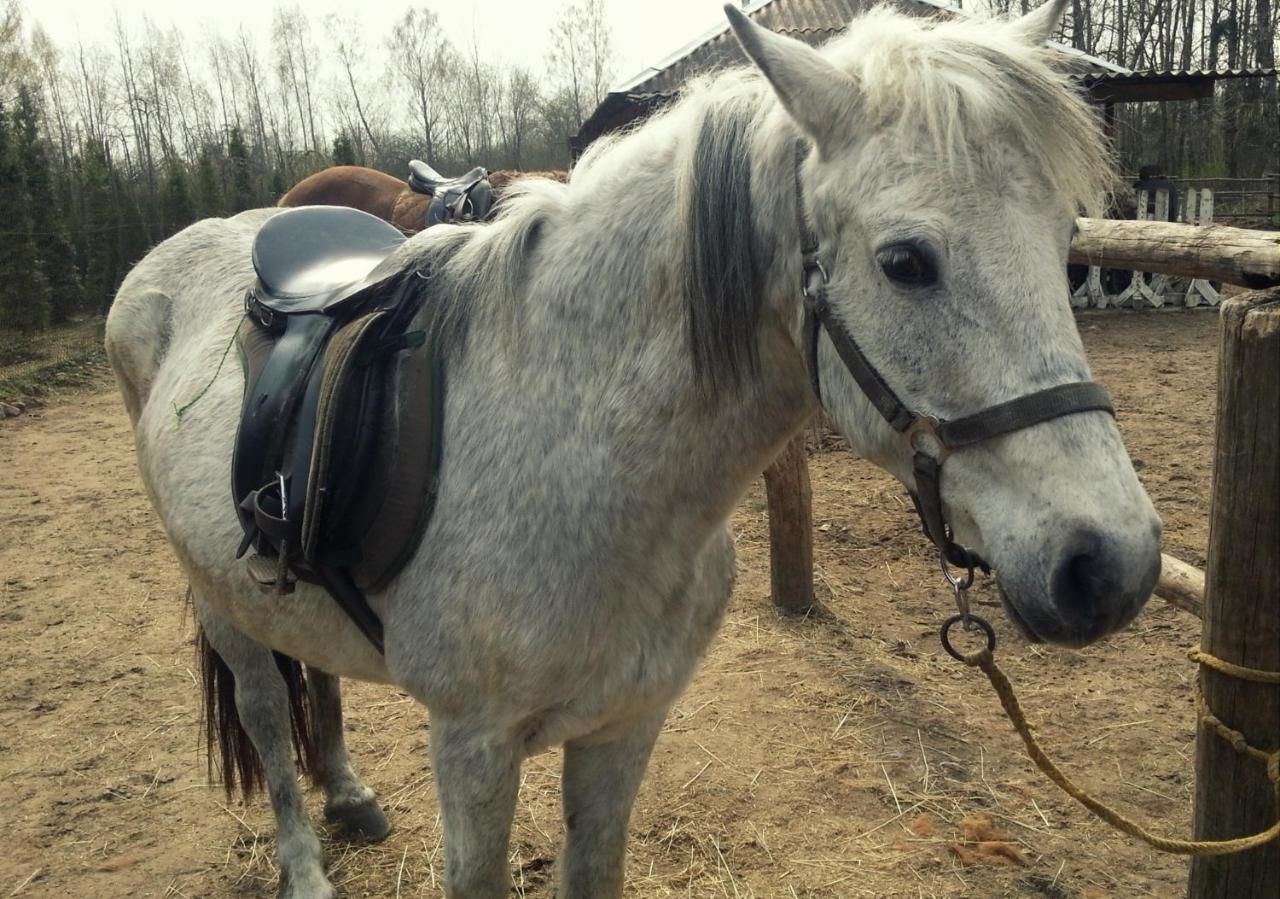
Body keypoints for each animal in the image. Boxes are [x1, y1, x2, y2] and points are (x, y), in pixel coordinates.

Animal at [107, 3, 1162, 896]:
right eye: (906, 261)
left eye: (1067, 238)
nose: (1109, 566)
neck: (583, 465)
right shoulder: (472, 749)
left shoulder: (625, 729)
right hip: (220, 600)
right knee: (265, 713)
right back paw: (305, 861)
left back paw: (350, 794)